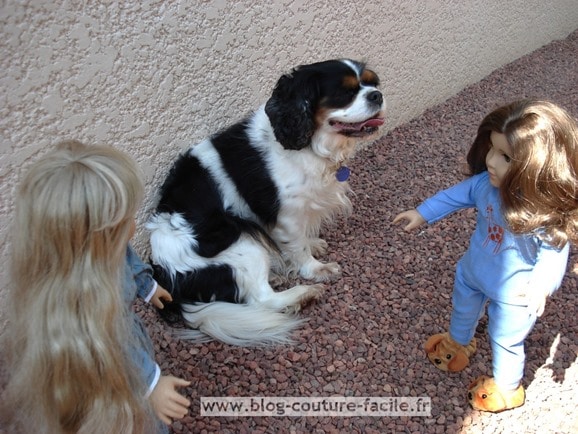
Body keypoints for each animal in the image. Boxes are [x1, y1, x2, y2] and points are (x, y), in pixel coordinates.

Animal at [146, 59, 384, 346]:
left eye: (372, 82)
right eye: (345, 92)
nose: (377, 95)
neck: (309, 143)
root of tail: (167, 281)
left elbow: (302, 241)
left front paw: (313, 244)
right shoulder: (287, 216)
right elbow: (298, 248)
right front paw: (316, 268)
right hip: (240, 239)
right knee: (261, 299)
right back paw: (303, 293)